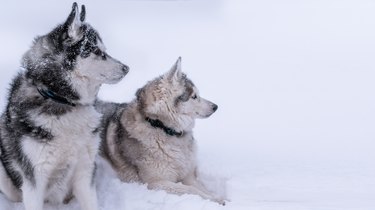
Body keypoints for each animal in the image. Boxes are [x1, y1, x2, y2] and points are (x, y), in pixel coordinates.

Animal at [0, 2, 130, 210]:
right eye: (97, 51)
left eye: (105, 50)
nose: (127, 68)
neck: (62, 101)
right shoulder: (35, 178)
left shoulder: (85, 169)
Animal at [97, 57, 226, 205]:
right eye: (194, 96)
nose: (215, 107)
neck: (161, 126)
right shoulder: (156, 183)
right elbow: (190, 190)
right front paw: (214, 200)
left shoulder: (188, 176)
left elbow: (200, 188)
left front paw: (218, 197)